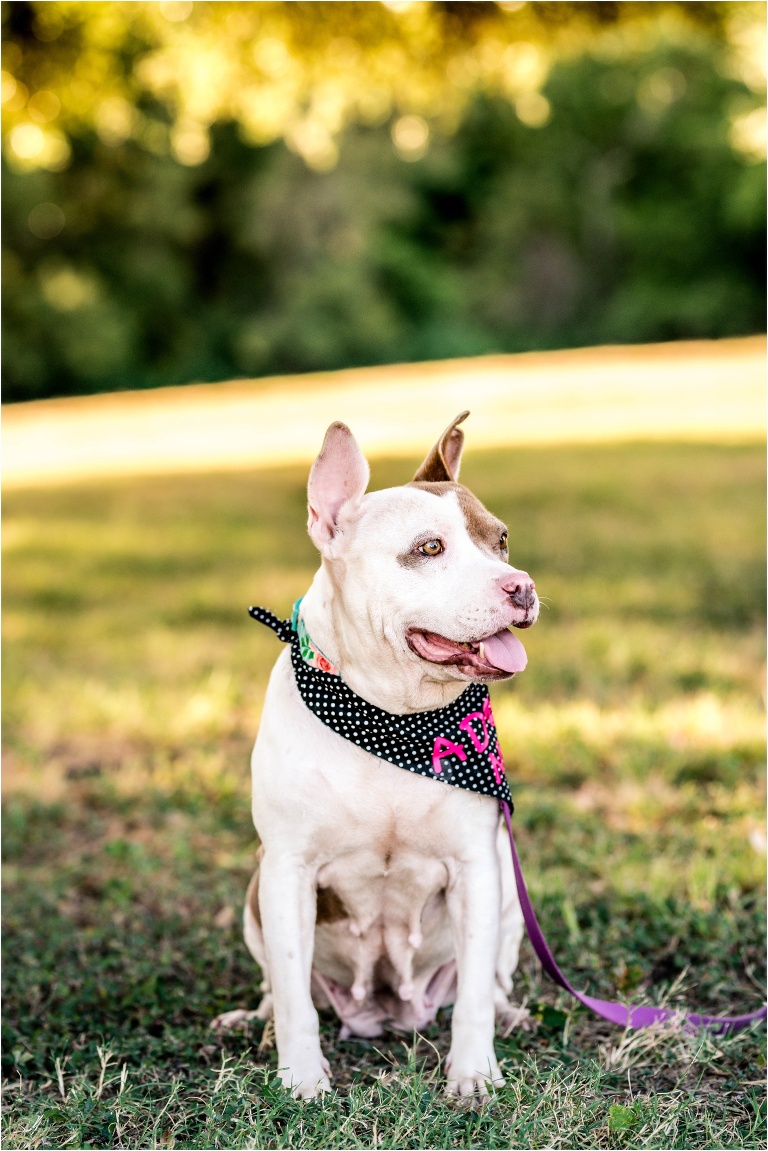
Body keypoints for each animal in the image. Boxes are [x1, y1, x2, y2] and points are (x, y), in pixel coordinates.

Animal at [213, 412, 538, 1095]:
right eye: (429, 549)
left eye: (500, 539)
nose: (522, 587)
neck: (392, 717)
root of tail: (388, 1011)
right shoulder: (288, 868)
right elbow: (293, 996)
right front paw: (301, 1079)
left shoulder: (477, 866)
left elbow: (473, 996)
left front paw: (473, 1075)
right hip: (255, 898)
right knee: (277, 988)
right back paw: (253, 1022)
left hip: (509, 904)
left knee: (491, 981)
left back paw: (510, 1014)